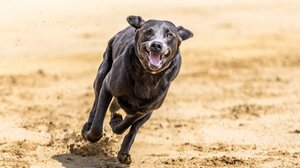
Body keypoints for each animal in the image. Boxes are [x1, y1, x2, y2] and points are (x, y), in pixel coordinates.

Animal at [81, 15, 193, 163]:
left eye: (170, 35)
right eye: (148, 32)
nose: (156, 45)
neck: (147, 75)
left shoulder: (145, 109)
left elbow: (126, 125)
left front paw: (116, 122)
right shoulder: (107, 87)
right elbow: (98, 122)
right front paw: (91, 136)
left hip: (149, 112)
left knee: (133, 128)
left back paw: (124, 153)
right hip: (101, 75)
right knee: (95, 106)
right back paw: (87, 127)